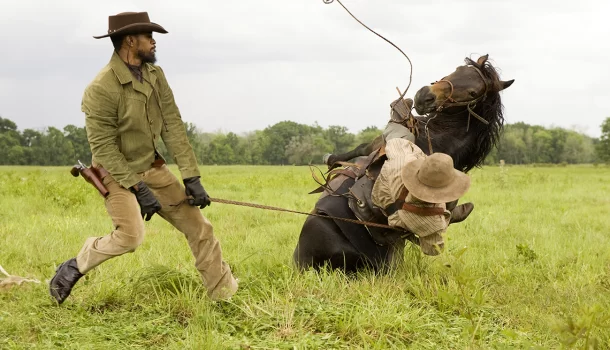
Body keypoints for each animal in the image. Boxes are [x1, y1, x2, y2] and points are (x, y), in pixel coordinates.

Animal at [292, 54, 510, 274]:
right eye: (458, 69)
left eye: (473, 92)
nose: (424, 96)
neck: (440, 140)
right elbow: (362, 149)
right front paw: (333, 160)